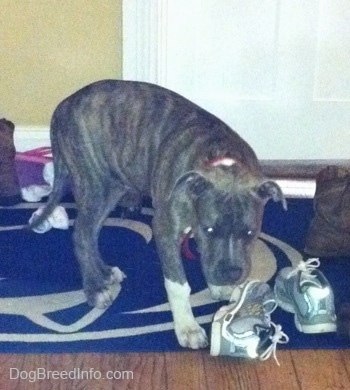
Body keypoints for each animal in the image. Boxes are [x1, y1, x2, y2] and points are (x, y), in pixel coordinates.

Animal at [31, 80, 286, 348]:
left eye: (250, 233)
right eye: (209, 230)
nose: (232, 273)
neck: (225, 166)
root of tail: (65, 104)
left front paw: (218, 285)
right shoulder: (165, 230)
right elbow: (178, 286)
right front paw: (187, 327)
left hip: (111, 188)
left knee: (91, 235)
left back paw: (105, 273)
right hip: (96, 185)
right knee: (81, 236)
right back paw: (94, 289)